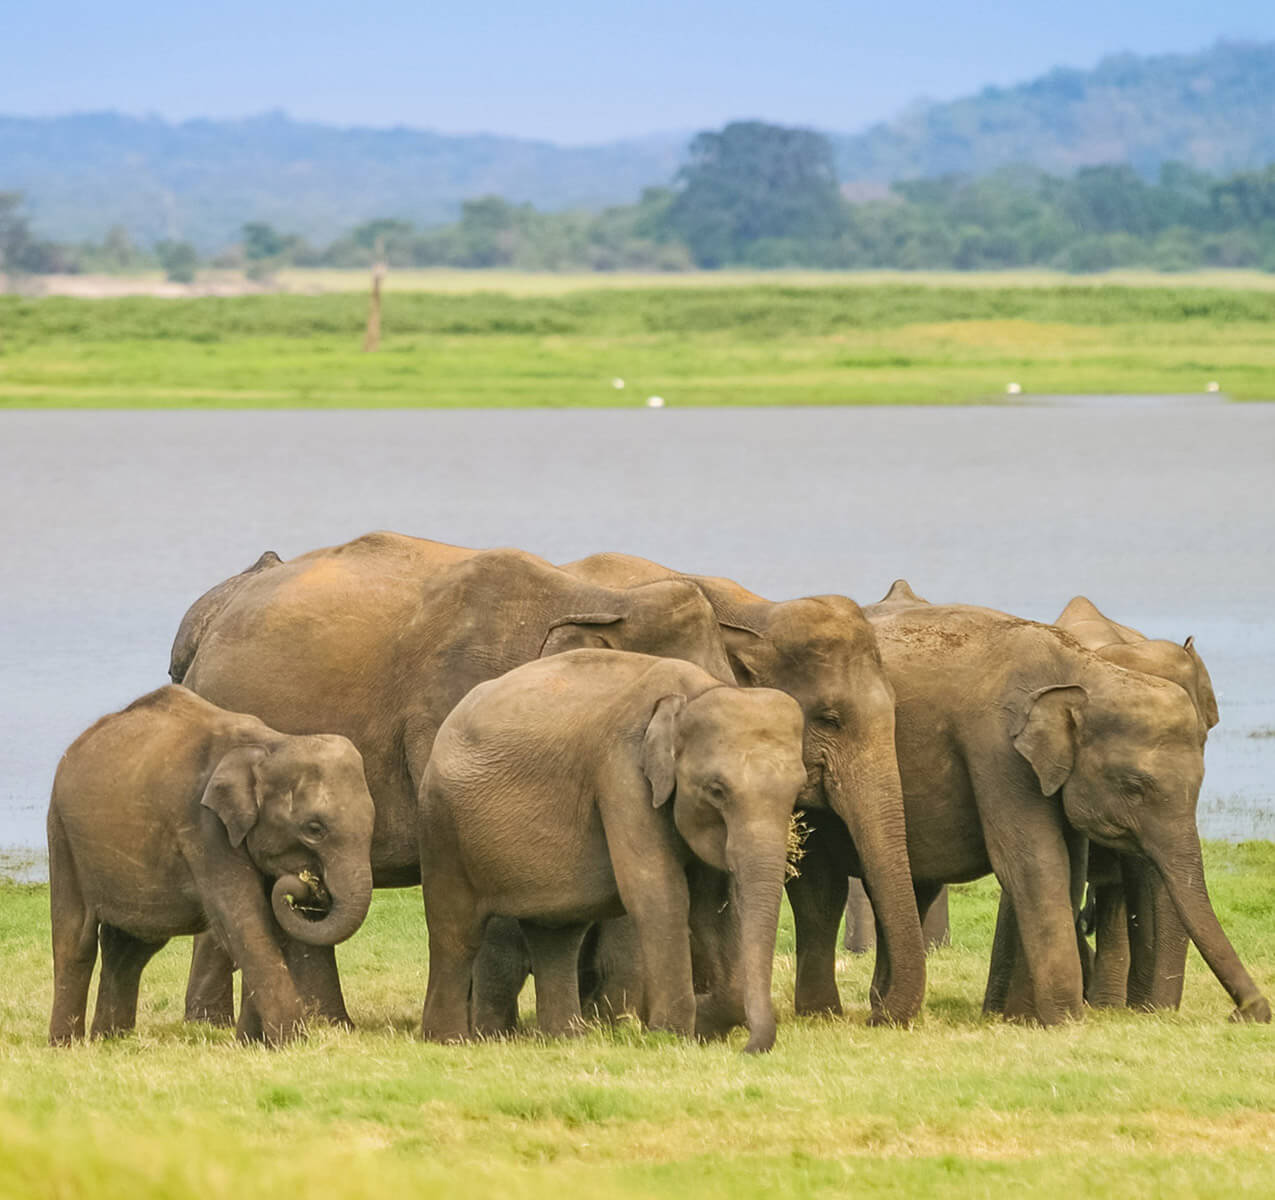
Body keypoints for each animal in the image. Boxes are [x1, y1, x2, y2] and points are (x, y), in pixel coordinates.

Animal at [48, 678, 372, 1045]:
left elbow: (267, 923)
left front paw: (252, 1044)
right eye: (314, 829)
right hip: (61, 834)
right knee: (75, 940)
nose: (310, 884)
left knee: (131, 947)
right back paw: (66, 1046)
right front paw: (292, 1042)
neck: (271, 744)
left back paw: (111, 1040)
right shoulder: (204, 827)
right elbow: (243, 919)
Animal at [418, 645, 805, 1050]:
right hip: (443, 827)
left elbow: (713, 909)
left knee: (556, 935)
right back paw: (447, 1040)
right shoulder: (621, 773)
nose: (748, 1050)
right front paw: (669, 1035)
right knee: (456, 932)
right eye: (716, 790)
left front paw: (702, 1025)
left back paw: (566, 1037)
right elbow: (658, 893)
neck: (692, 695)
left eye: (798, 789)